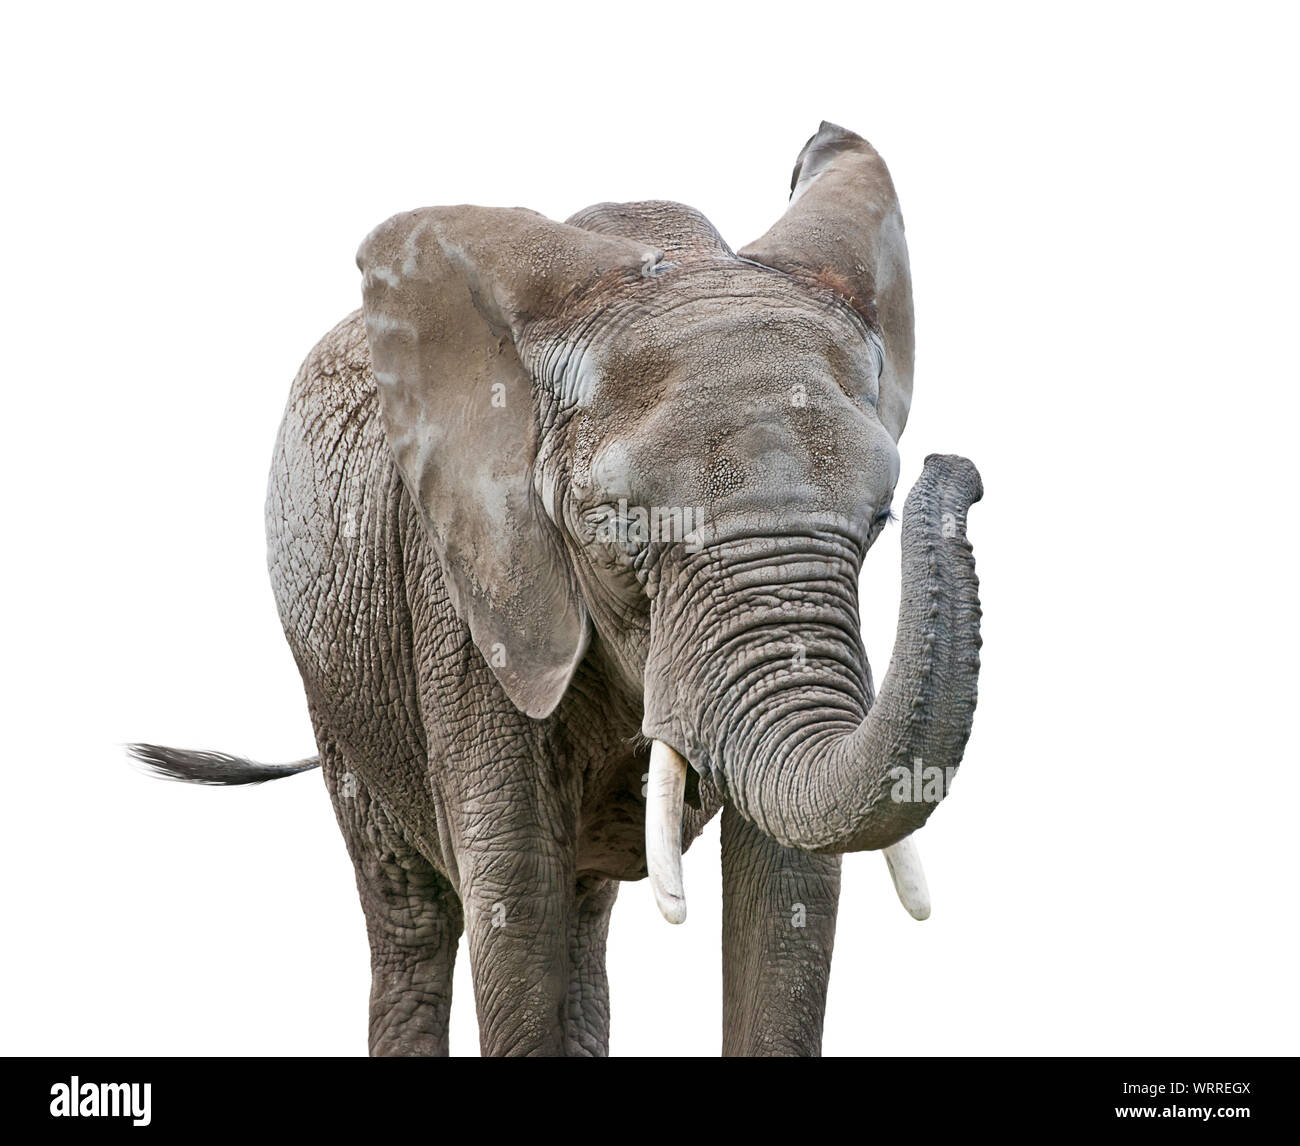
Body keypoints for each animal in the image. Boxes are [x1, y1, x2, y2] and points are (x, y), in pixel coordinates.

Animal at [130, 121, 983, 1057]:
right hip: (340, 685)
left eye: (879, 519)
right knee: (412, 914)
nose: (961, 472)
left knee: (578, 910)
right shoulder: (468, 579)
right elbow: (514, 886)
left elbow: (788, 891)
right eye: (618, 525)